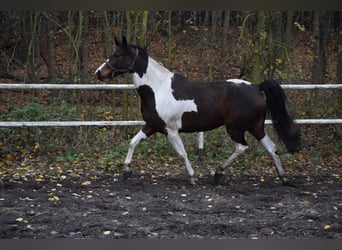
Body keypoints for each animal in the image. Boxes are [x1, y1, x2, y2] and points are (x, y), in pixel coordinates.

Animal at [94, 36, 300, 186]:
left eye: (117, 54)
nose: (98, 73)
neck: (157, 88)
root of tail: (257, 87)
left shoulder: (171, 131)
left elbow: (182, 153)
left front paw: (192, 177)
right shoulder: (151, 125)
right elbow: (133, 142)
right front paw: (126, 171)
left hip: (235, 128)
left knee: (242, 147)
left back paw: (218, 173)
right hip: (256, 126)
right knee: (272, 148)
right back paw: (283, 177)